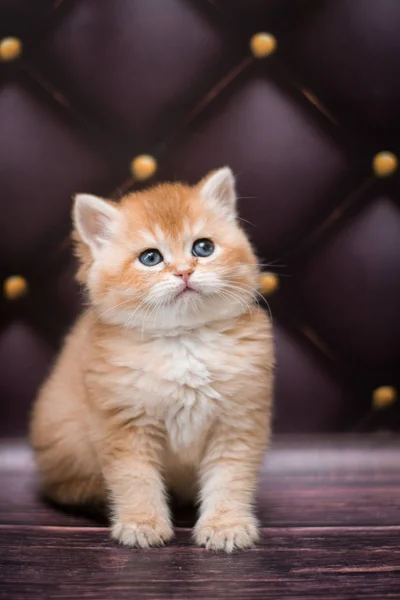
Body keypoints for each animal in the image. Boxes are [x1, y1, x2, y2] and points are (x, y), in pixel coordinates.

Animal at [29, 166, 274, 552]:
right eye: (150, 258)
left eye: (203, 247)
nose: (185, 271)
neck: (183, 342)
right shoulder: (124, 426)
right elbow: (136, 479)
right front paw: (142, 523)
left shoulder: (238, 422)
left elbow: (230, 478)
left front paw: (226, 525)